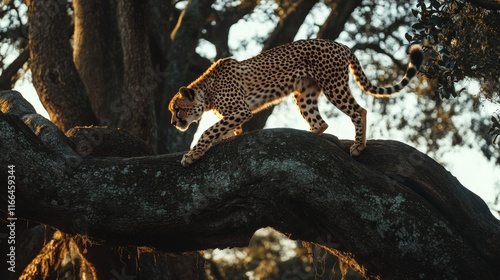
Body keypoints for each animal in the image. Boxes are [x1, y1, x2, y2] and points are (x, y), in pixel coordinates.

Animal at [169, 39, 422, 166]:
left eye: (177, 110)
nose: (173, 124)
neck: (206, 92)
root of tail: (341, 45)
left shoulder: (241, 110)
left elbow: (209, 131)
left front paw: (191, 155)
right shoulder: (235, 115)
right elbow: (223, 131)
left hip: (334, 86)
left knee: (359, 111)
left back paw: (359, 145)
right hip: (304, 93)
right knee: (321, 123)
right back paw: (308, 135)